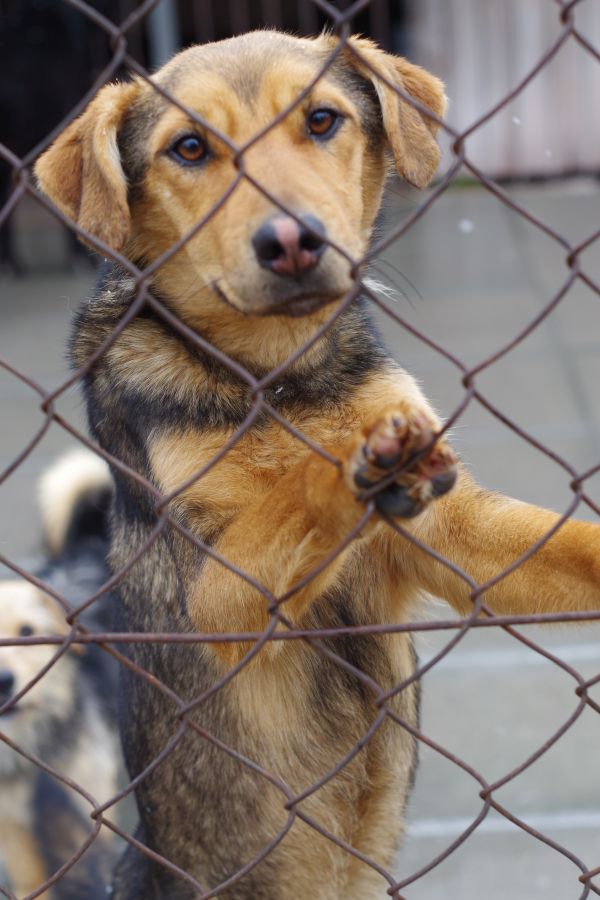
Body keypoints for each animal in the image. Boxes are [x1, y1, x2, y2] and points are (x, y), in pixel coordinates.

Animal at [34, 30, 600, 899]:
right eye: (189, 148)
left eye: (324, 120)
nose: (293, 241)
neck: (279, 378)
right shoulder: (222, 597)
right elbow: (296, 490)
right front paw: (352, 459)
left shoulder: (454, 534)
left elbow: (566, 542)